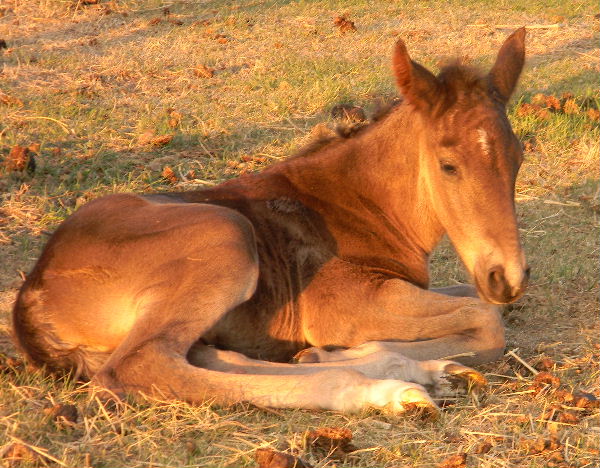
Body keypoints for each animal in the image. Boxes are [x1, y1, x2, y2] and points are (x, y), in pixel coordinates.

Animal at [12, 28, 529, 414]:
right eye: (448, 165)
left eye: (519, 157)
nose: (507, 277)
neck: (362, 204)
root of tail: (30, 297)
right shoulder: (346, 304)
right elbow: (488, 321)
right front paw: (342, 351)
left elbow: (474, 303)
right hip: (227, 235)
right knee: (137, 366)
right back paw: (380, 389)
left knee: (204, 355)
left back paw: (425, 371)